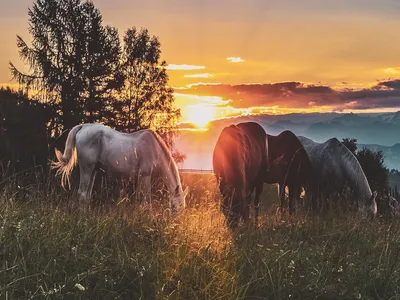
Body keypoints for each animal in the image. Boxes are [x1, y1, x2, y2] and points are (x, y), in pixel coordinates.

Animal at [51, 123, 188, 212]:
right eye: (175, 208)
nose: (176, 225)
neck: (154, 148)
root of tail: (83, 127)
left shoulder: (139, 178)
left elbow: (139, 199)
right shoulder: (145, 176)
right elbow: (147, 201)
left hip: (93, 171)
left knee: (87, 195)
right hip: (87, 169)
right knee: (83, 193)